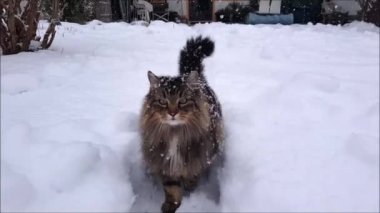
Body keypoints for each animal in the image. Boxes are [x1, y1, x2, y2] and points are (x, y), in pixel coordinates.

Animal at [140, 36, 224, 213]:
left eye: (183, 101)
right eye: (163, 102)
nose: (172, 113)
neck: (174, 133)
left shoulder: (196, 157)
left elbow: (192, 178)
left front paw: (190, 190)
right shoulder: (165, 162)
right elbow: (172, 190)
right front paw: (171, 206)